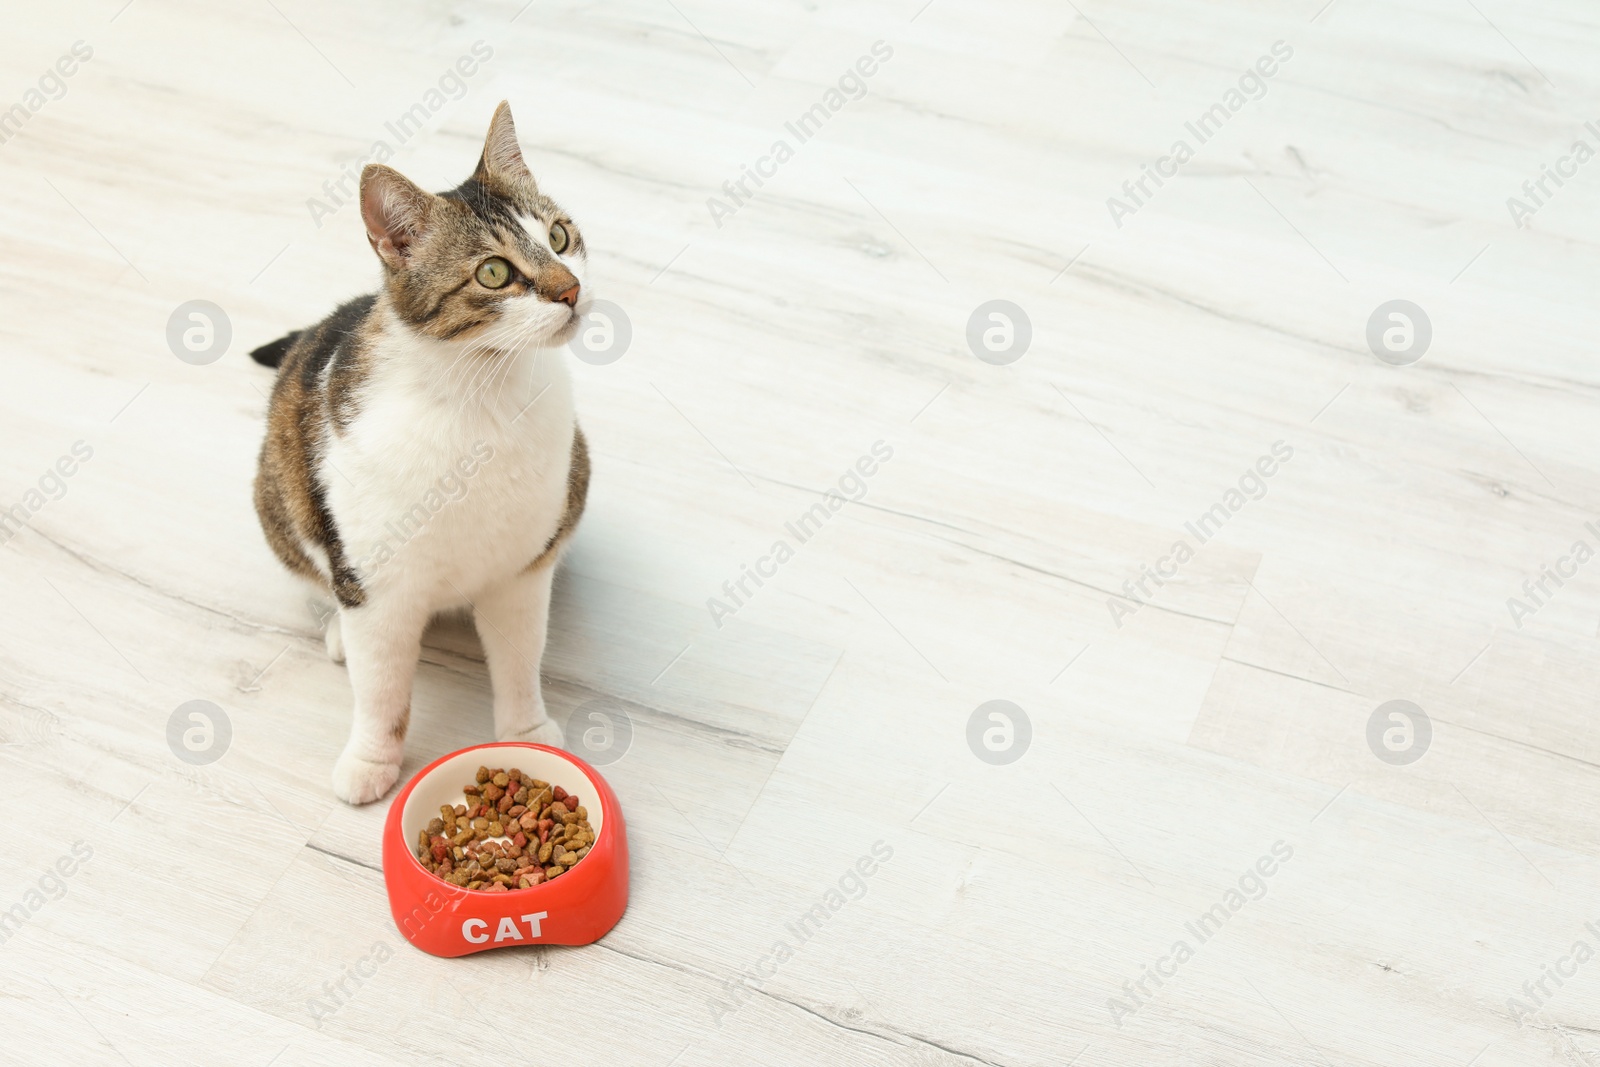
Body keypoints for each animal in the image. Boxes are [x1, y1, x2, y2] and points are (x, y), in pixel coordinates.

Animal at [243, 103, 582, 806]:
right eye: (494, 272)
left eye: (561, 237)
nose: (570, 290)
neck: (480, 394)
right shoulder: (376, 581)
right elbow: (380, 688)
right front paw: (372, 759)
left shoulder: (523, 568)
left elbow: (519, 657)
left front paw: (526, 732)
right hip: (278, 499)